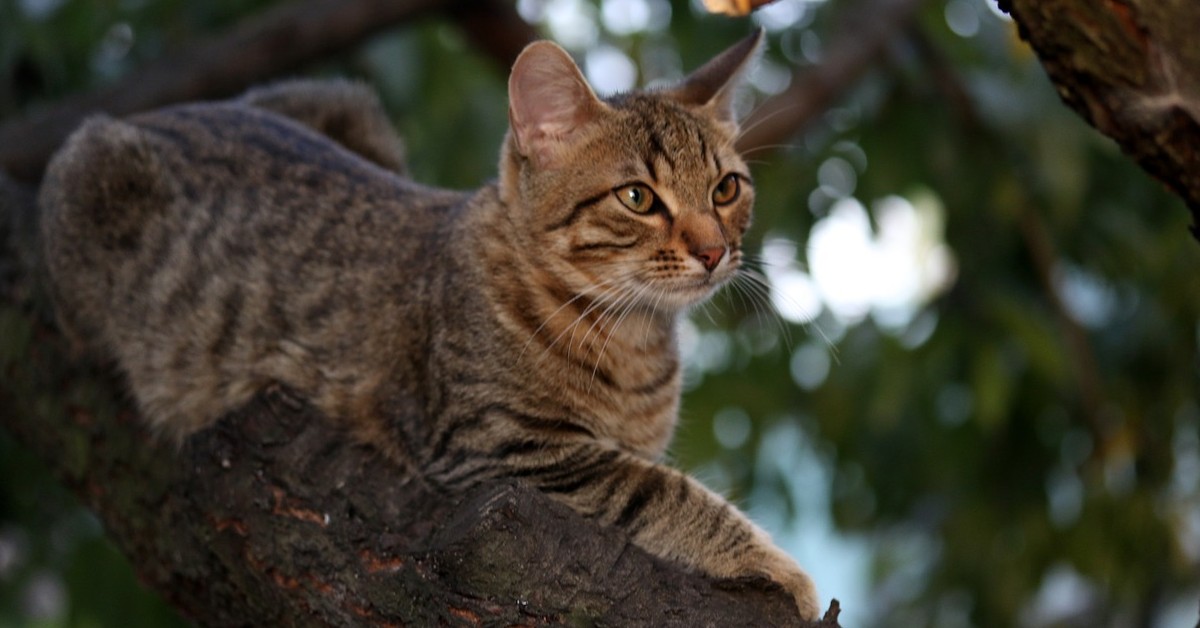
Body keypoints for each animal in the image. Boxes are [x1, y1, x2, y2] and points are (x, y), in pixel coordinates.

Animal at [39, 29, 825, 619]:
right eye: (638, 198)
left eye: (725, 189)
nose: (714, 250)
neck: (633, 340)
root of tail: (157, 113)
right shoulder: (506, 449)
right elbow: (663, 491)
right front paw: (782, 568)